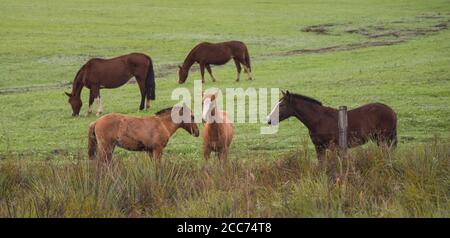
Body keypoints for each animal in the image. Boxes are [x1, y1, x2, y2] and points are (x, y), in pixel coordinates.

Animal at [268, 90, 398, 163]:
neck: (319, 120)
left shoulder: (334, 148)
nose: (269, 120)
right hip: (379, 139)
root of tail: (391, 111)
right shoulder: (319, 148)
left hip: (384, 138)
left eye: (282, 105)